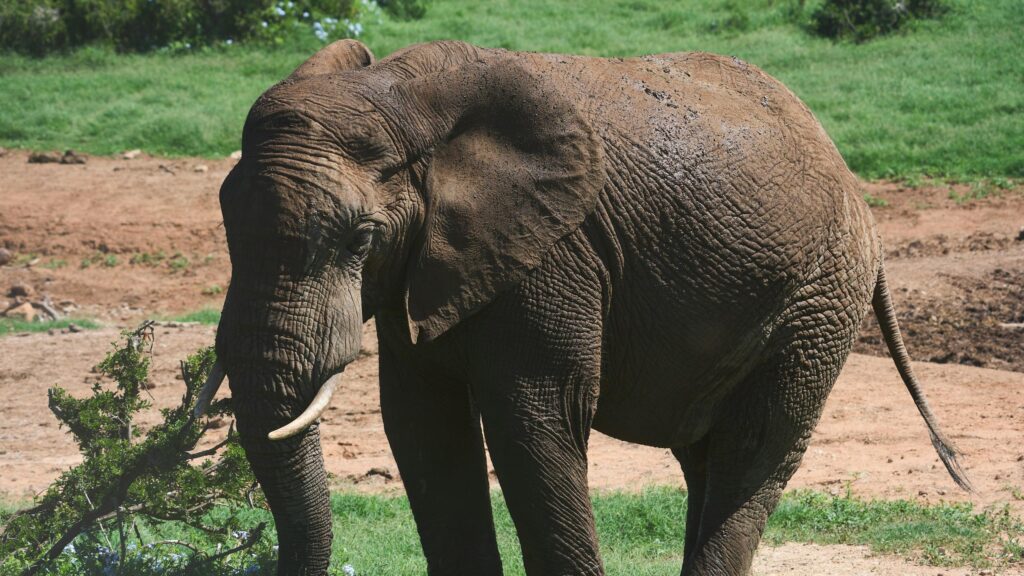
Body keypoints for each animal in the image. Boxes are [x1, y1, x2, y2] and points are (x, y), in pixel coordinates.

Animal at [194, 39, 970, 575]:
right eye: (225, 224)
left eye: (360, 239)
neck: (400, 92)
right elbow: (421, 423)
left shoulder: (555, 254)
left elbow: (534, 418)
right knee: (707, 456)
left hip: (817, 302)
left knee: (755, 450)